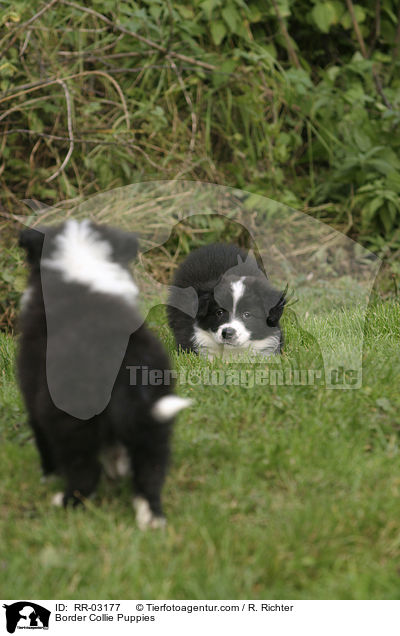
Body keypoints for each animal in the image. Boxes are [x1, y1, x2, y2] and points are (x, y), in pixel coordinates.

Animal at [16, 221, 189, 528]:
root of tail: (121, 371)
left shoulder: (32, 393)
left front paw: (47, 476)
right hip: (155, 419)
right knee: (150, 468)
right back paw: (151, 517)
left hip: (71, 419)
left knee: (84, 471)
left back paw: (65, 501)